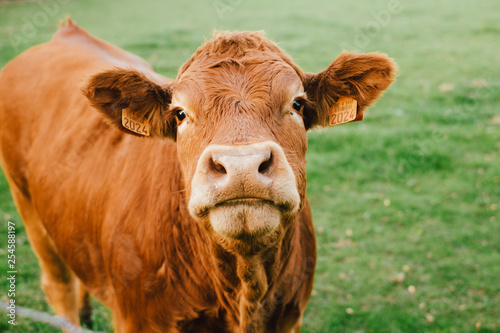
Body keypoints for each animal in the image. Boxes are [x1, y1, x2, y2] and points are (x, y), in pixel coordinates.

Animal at [0, 18, 396, 332]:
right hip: (27, 204)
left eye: (297, 104)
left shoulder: (288, 316)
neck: (244, 288)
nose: (242, 166)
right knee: (59, 285)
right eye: (179, 113)